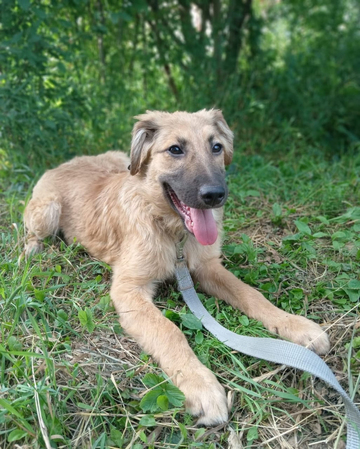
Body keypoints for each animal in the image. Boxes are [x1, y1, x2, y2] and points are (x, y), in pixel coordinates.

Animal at [23, 110, 330, 426]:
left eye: (216, 147)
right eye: (175, 149)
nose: (215, 195)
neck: (173, 233)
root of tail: (65, 163)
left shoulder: (207, 267)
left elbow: (251, 294)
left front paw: (294, 325)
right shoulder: (128, 289)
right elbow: (169, 331)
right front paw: (200, 384)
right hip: (47, 212)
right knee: (31, 233)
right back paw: (31, 251)